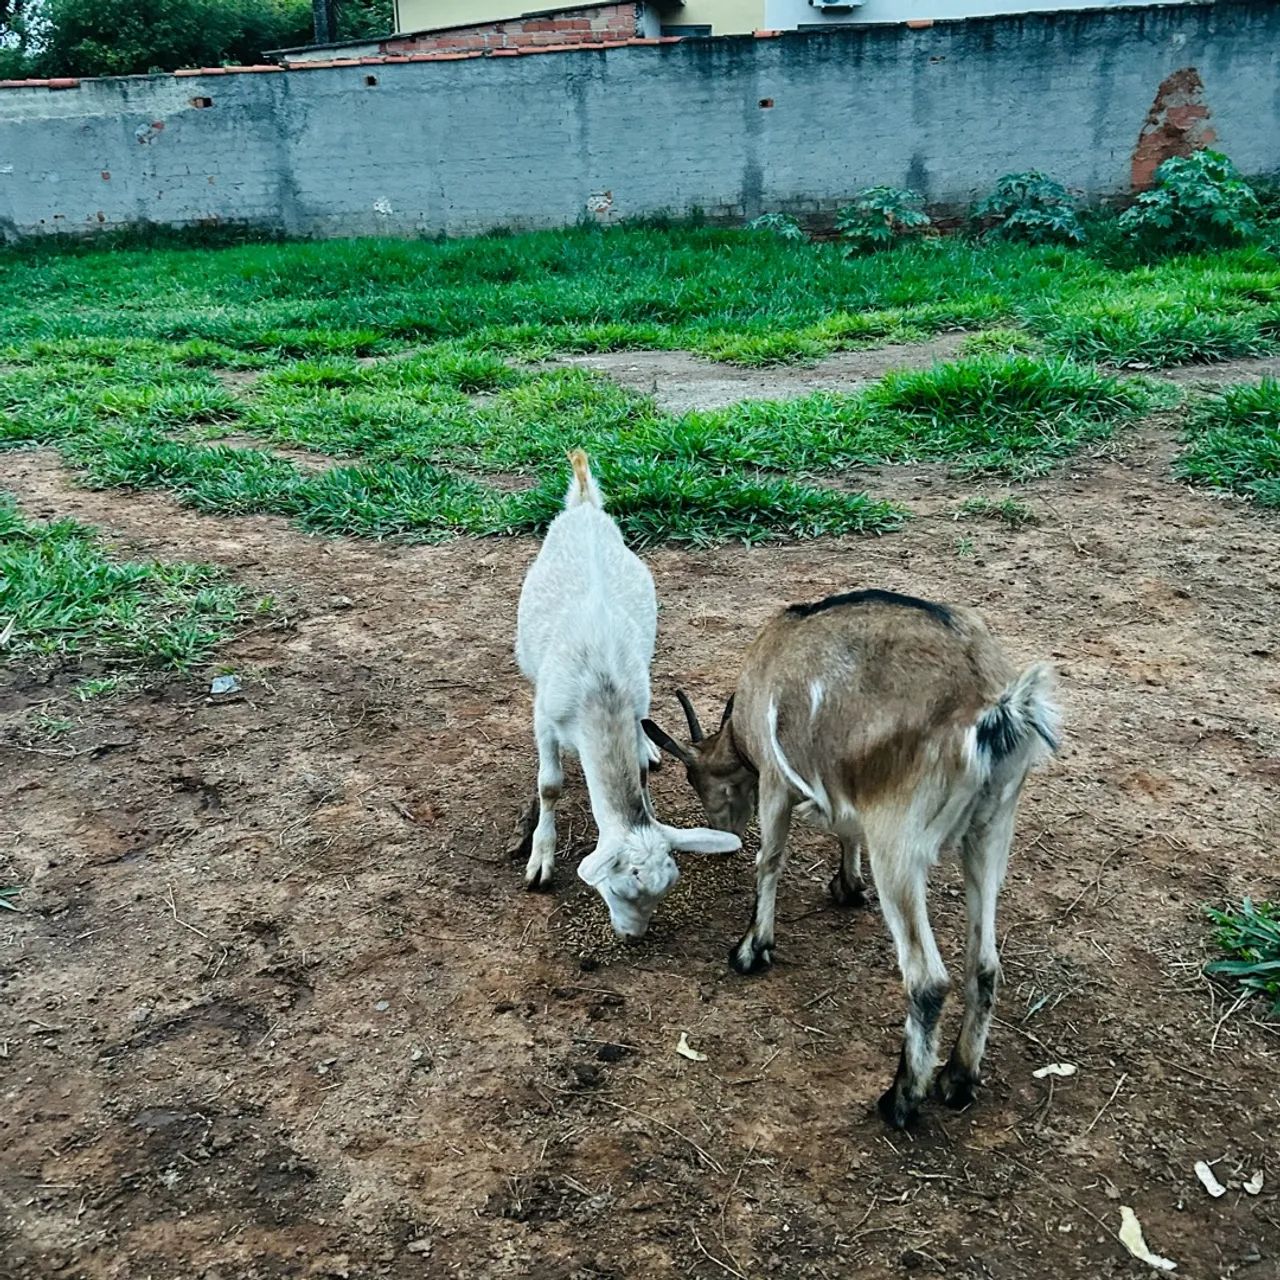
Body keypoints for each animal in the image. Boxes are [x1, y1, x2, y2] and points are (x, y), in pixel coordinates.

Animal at [513, 450, 741, 938]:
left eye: (666, 889)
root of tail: (584, 505)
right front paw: (540, 859)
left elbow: (637, 766)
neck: (602, 692)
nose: (632, 936)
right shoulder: (545, 715)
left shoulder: (637, 701)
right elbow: (549, 785)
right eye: (620, 888)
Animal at [644, 588, 1060, 1127]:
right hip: (992, 828)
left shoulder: (775, 781)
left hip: (899, 840)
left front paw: (752, 949)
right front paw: (847, 886)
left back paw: (901, 1099)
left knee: (927, 980)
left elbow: (770, 859)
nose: (723, 832)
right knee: (985, 963)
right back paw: (958, 1078)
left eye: (703, 782)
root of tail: (995, 707)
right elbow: (845, 830)